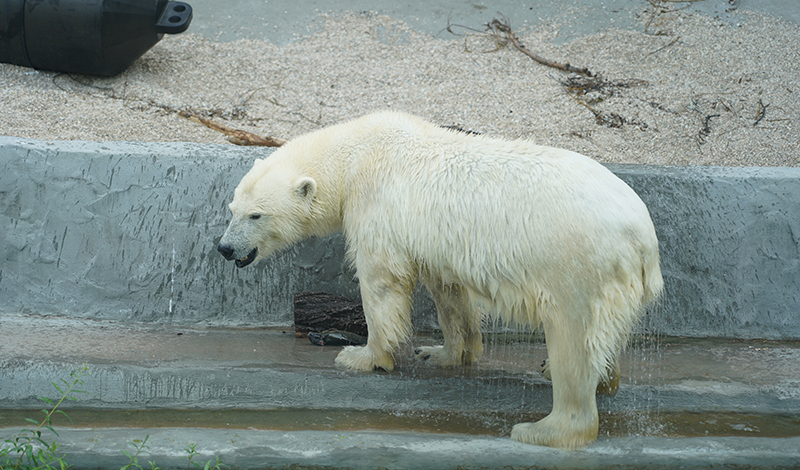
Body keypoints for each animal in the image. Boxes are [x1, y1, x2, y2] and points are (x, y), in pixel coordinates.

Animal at [217, 109, 664, 448]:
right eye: (232, 209)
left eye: (257, 215)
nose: (224, 248)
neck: (356, 155)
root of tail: (643, 238)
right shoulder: (431, 239)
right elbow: (448, 292)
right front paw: (442, 352)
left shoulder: (377, 206)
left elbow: (382, 279)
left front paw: (363, 355)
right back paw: (594, 379)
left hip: (574, 264)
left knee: (574, 339)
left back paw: (544, 426)